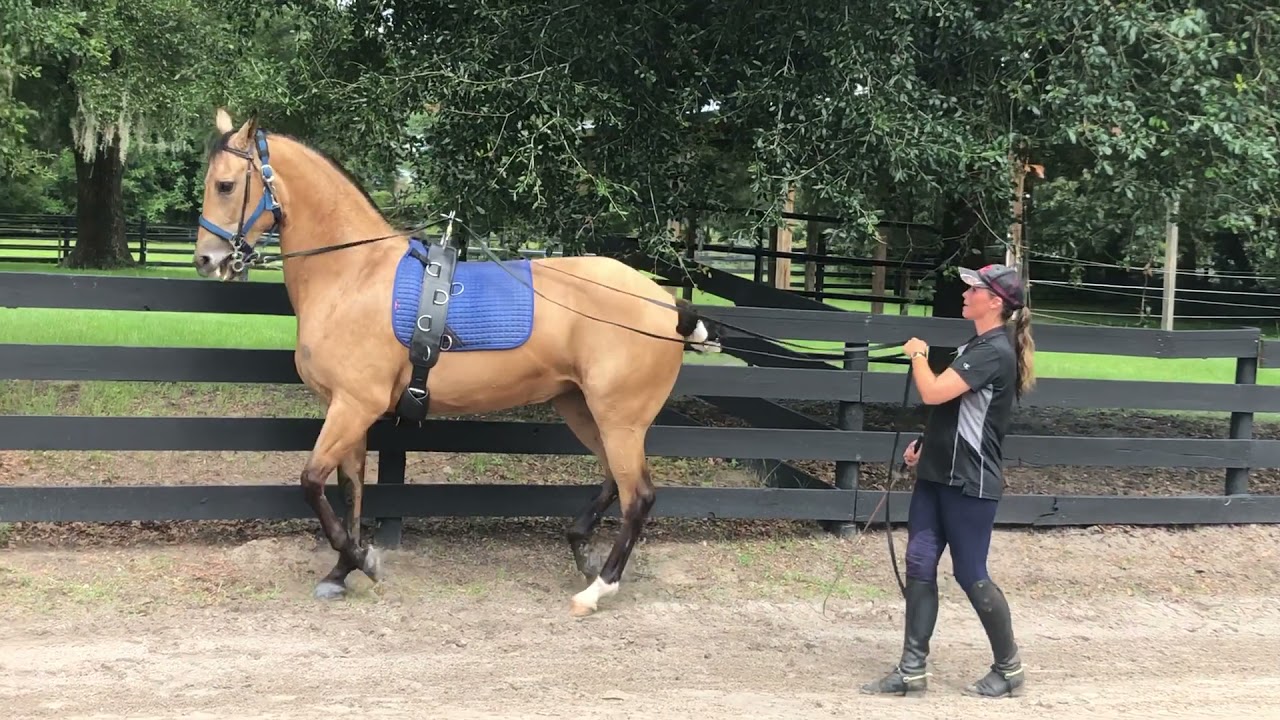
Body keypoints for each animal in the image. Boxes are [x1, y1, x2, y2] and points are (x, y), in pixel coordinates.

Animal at [193, 108, 721, 616]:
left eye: (225, 185)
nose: (206, 259)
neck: (355, 275)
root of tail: (666, 302)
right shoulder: (347, 410)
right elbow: (350, 489)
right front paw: (342, 570)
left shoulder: (354, 406)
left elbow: (312, 482)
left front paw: (362, 559)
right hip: (584, 409)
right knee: (614, 480)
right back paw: (581, 550)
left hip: (620, 418)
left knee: (639, 497)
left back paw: (596, 590)